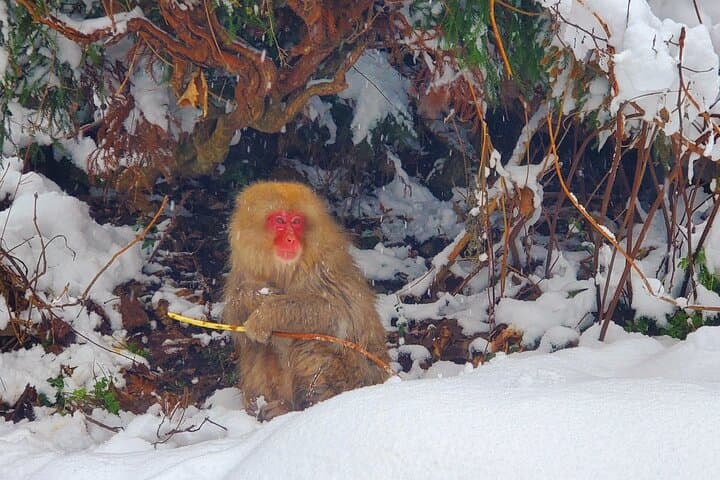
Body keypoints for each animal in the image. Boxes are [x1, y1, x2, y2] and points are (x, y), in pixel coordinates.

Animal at [223, 181, 391, 420]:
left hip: (356, 377)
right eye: (280, 221)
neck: (285, 268)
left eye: (296, 222)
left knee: (313, 342)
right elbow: (236, 319)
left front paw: (267, 314)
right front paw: (255, 296)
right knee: (259, 347)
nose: (291, 239)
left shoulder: (324, 267)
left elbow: (338, 313)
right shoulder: (243, 269)